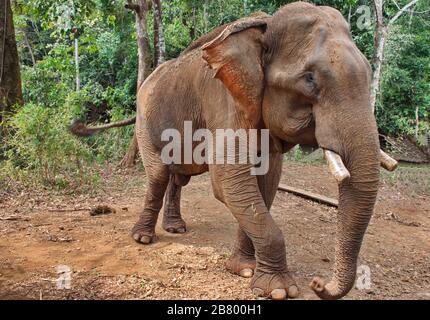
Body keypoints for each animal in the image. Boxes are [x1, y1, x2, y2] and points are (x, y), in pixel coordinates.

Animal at [70, 1, 396, 298]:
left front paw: (244, 269)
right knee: (160, 174)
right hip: (145, 121)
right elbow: (229, 180)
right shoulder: (222, 97)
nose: (318, 284)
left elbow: (266, 181)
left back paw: (176, 229)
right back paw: (142, 238)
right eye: (310, 79)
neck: (264, 27)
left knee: (178, 177)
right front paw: (280, 289)